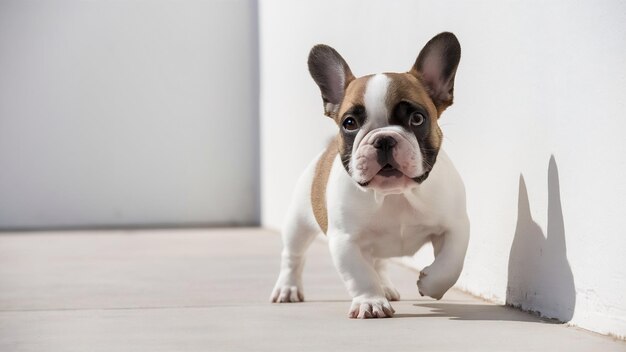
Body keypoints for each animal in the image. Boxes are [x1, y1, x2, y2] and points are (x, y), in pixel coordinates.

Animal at [268, 33, 468, 320]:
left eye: (417, 119)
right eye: (349, 123)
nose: (383, 139)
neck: (394, 195)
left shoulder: (456, 226)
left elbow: (451, 264)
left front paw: (430, 283)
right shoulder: (345, 240)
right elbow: (359, 275)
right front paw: (370, 302)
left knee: (379, 263)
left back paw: (386, 287)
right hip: (298, 221)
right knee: (293, 256)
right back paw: (288, 289)